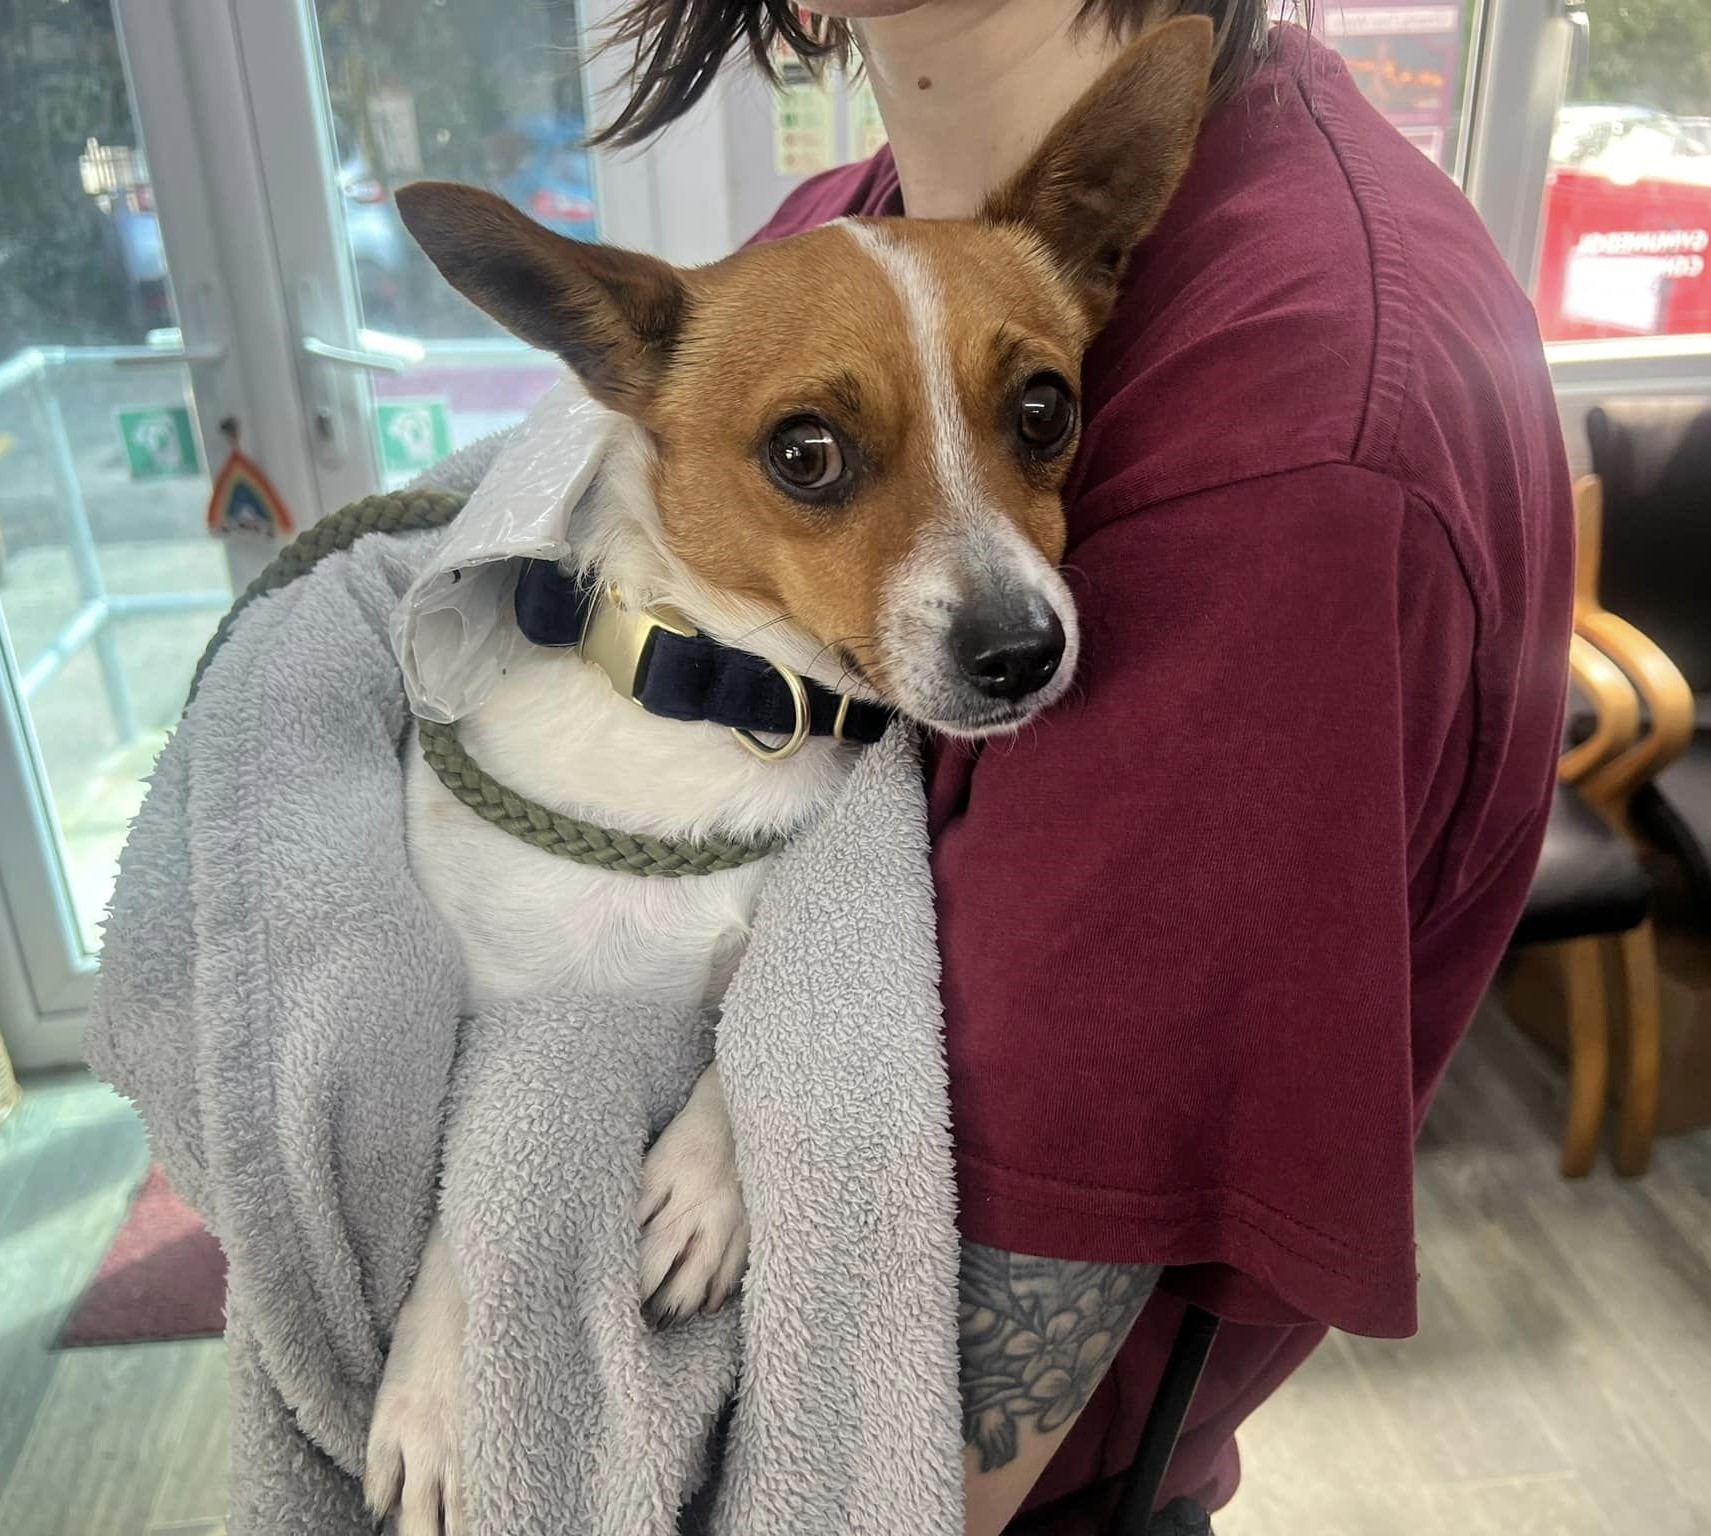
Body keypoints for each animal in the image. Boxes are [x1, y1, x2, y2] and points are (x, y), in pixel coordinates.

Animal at [366, 17, 1211, 1525]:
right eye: (803, 452)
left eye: (1043, 409)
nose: (1023, 652)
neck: (719, 708)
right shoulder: (500, 1018)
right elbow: (467, 1202)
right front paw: (425, 1390)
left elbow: (751, 1032)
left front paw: (704, 1189)